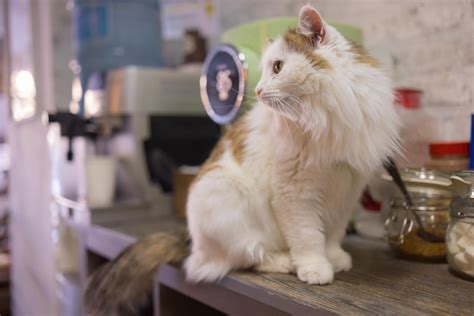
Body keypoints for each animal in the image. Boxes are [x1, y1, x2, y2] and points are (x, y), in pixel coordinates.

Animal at [85, 4, 400, 316]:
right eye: (267, 70)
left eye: (277, 67)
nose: (258, 91)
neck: (324, 116)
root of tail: (190, 241)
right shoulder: (295, 194)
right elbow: (308, 236)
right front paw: (315, 267)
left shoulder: (347, 191)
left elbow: (332, 233)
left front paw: (334, 257)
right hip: (225, 198)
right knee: (247, 257)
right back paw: (285, 261)